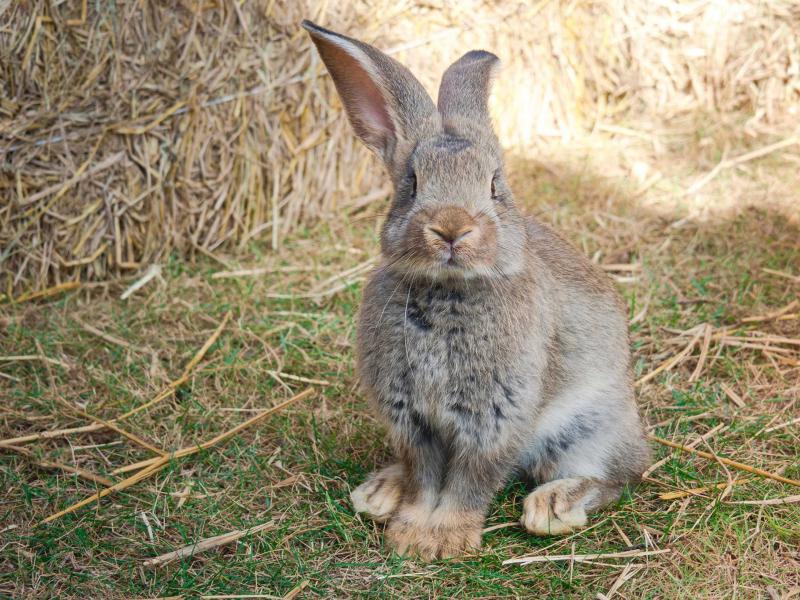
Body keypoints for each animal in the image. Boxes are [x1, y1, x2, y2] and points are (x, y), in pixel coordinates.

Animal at [302, 19, 648, 564]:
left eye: (494, 185)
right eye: (411, 184)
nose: (451, 228)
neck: (450, 291)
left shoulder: (496, 418)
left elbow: (470, 480)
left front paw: (445, 539)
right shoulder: (411, 420)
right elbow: (424, 477)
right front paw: (411, 533)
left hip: (590, 428)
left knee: (616, 474)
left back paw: (552, 507)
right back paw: (378, 493)